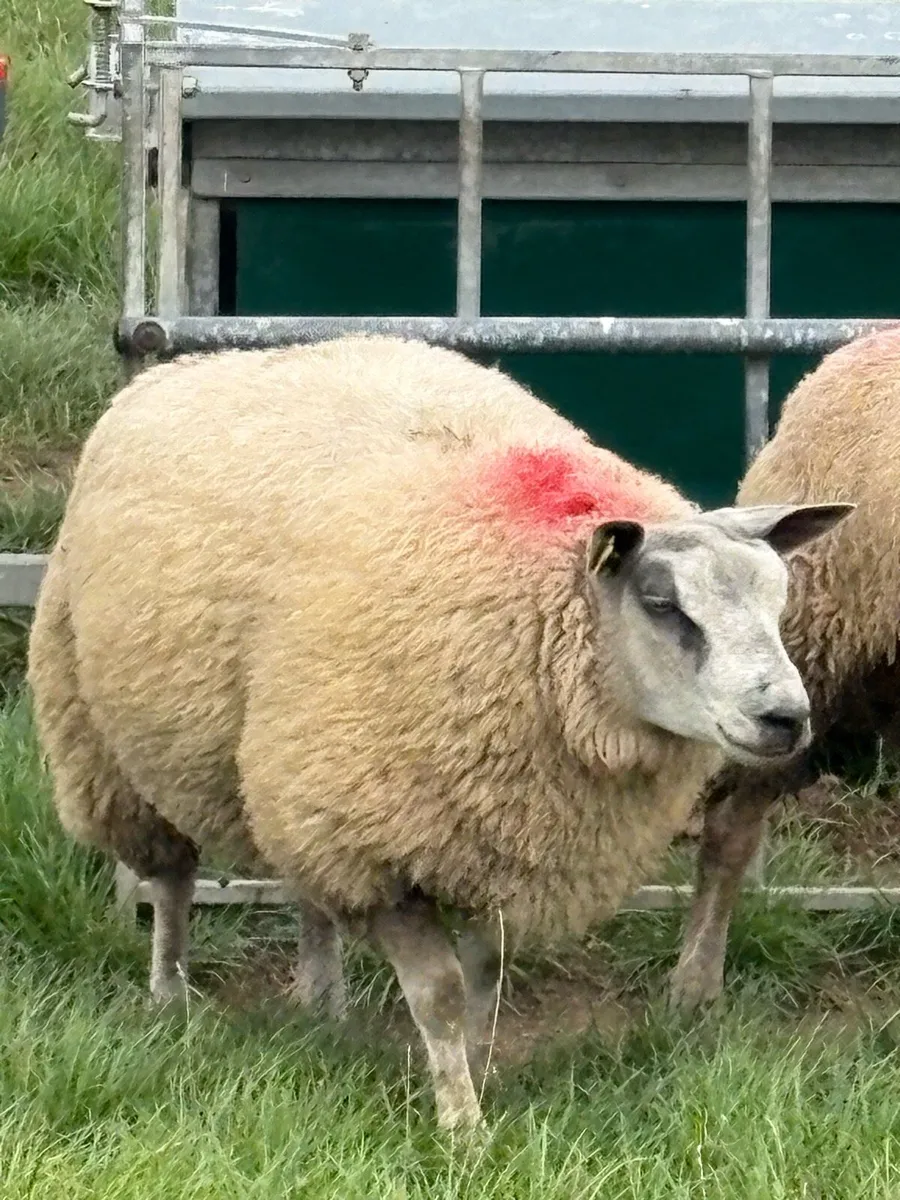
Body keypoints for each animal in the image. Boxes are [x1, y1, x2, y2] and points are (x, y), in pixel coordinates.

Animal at [27, 333, 851, 1130]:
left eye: (779, 597)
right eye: (662, 603)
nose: (786, 717)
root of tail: (208, 359)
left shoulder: (506, 841)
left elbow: (484, 979)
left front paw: (477, 1075)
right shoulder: (380, 842)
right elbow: (441, 995)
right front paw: (463, 1130)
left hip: (294, 760)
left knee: (306, 886)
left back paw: (322, 1004)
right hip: (113, 737)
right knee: (170, 878)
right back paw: (170, 996)